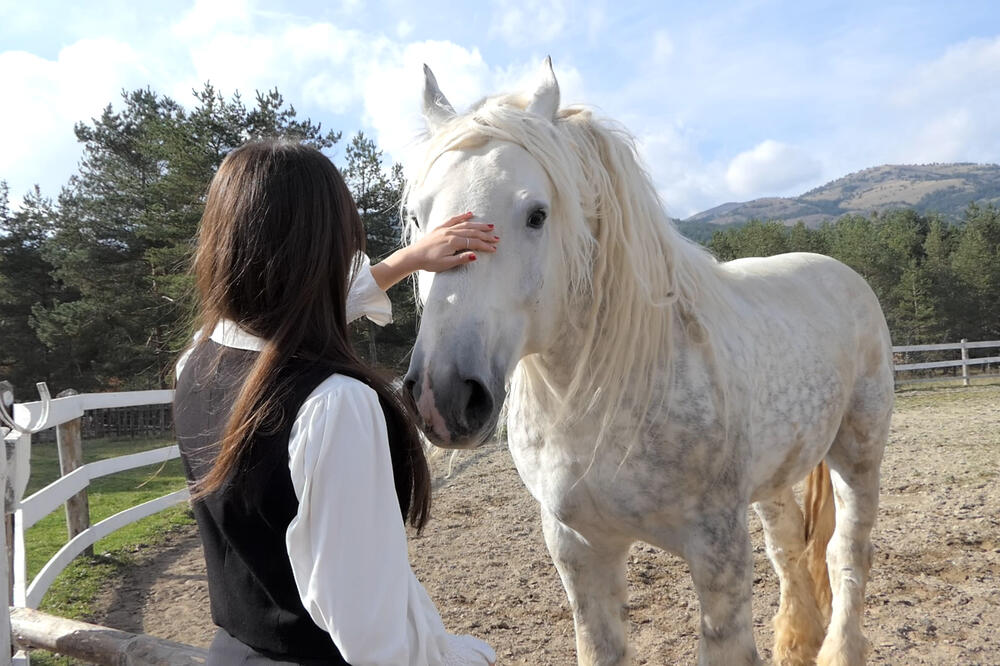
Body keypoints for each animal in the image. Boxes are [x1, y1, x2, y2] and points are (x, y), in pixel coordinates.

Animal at [402, 58, 896, 664]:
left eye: (537, 214)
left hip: (859, 453)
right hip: (776, 474)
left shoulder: (717, 552)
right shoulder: (579, 551)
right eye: (418, 217)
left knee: (847, 554)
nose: (443, 395)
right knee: (787, 549)